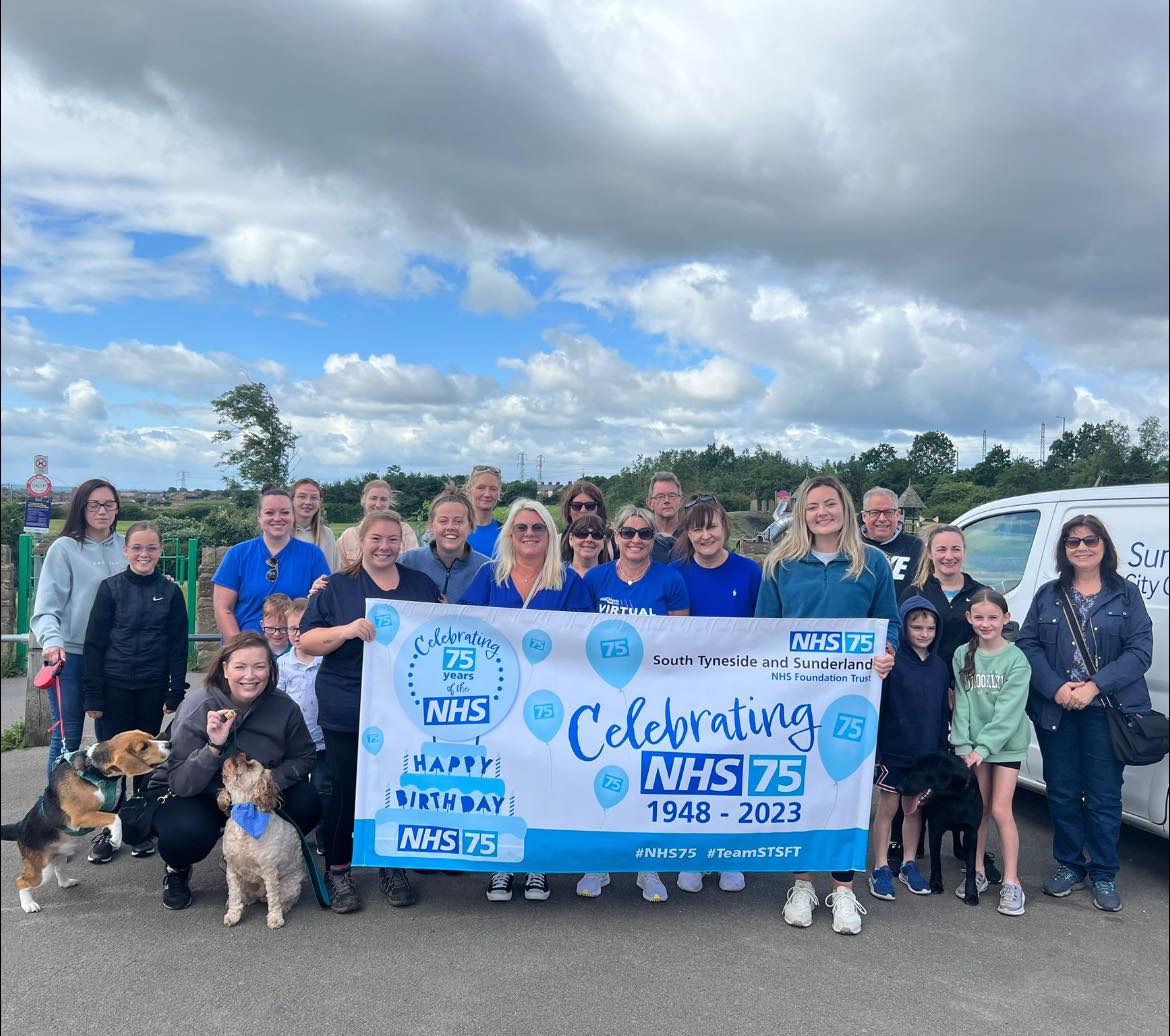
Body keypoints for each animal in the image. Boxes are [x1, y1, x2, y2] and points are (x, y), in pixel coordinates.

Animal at [216, 749, 301, 927]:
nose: (238, 754)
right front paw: (233, 914)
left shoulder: (269, 871)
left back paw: (284, 908)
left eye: (249, 765)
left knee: (283, 899)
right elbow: (234, 896)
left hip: (290, 885)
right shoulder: (232, 870)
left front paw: (275, 918)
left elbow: (274, 898)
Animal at [898, 753, 982, 903]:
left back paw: (959, 849)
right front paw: (936, 883)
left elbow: (971, 867)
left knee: (956, 831)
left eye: (922, 771)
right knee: (922, 828)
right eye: (912, 768)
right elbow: (936, 861)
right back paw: (919, 849)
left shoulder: (972, 833)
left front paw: (971, 893)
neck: (954, 797)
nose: (898, 788)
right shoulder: (935, 830)